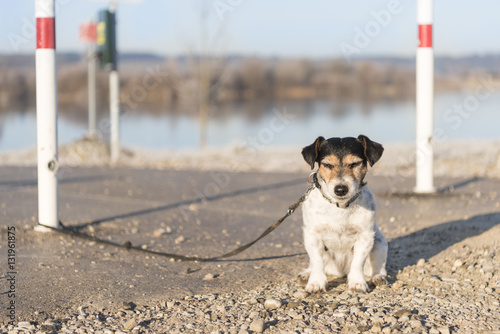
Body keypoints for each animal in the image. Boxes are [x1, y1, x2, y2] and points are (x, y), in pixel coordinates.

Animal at [298, 135, 388, 292]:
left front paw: (357, 283)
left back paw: (378, 277)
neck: (339, 207)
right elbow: (317, 262)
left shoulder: (365, 236)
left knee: (378, 267)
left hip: (379, 243)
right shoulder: (312, 235)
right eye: (327, 165)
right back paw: (306, 273)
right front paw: (316, 282)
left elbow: (358, 263)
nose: (340, 189)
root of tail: (341, 272)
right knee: (315, 264)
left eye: (355, 163)